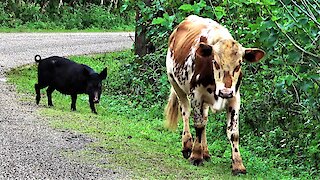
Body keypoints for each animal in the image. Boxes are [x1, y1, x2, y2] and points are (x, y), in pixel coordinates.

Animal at [165, 14, 264, 175]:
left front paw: (238, 165)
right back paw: (187, 146)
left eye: (239, 64)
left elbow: (233, 132)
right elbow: (198, 125)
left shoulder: (235, 98)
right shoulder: (196, 95)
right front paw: (195, 155)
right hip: (175, 82)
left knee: (205, 119)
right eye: (215, 62)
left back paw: (205, 152)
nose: (225, 92)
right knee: (186, 113)